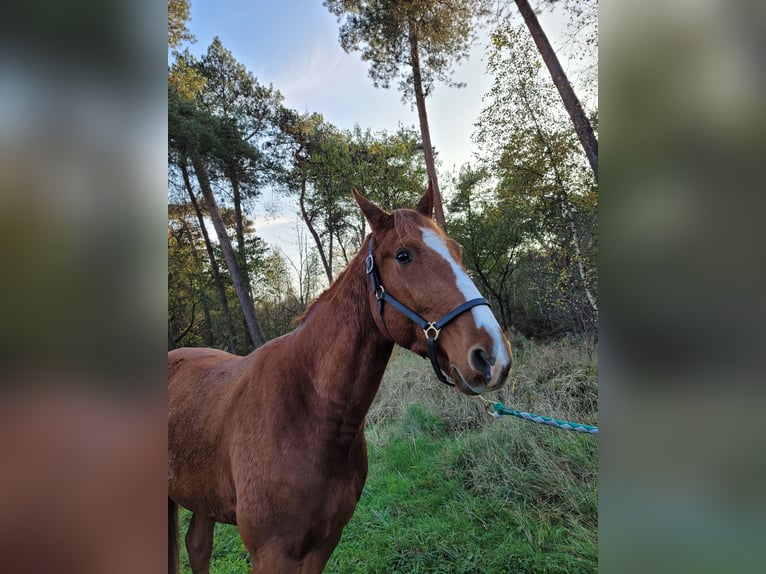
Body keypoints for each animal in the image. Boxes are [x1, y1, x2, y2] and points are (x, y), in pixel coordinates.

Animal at [169, 187, 516, 572]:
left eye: (457, 249)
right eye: (404, 255)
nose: (492, 355)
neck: (310, 412)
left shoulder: (324, 541)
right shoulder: (272, 553)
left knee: (197, 546)